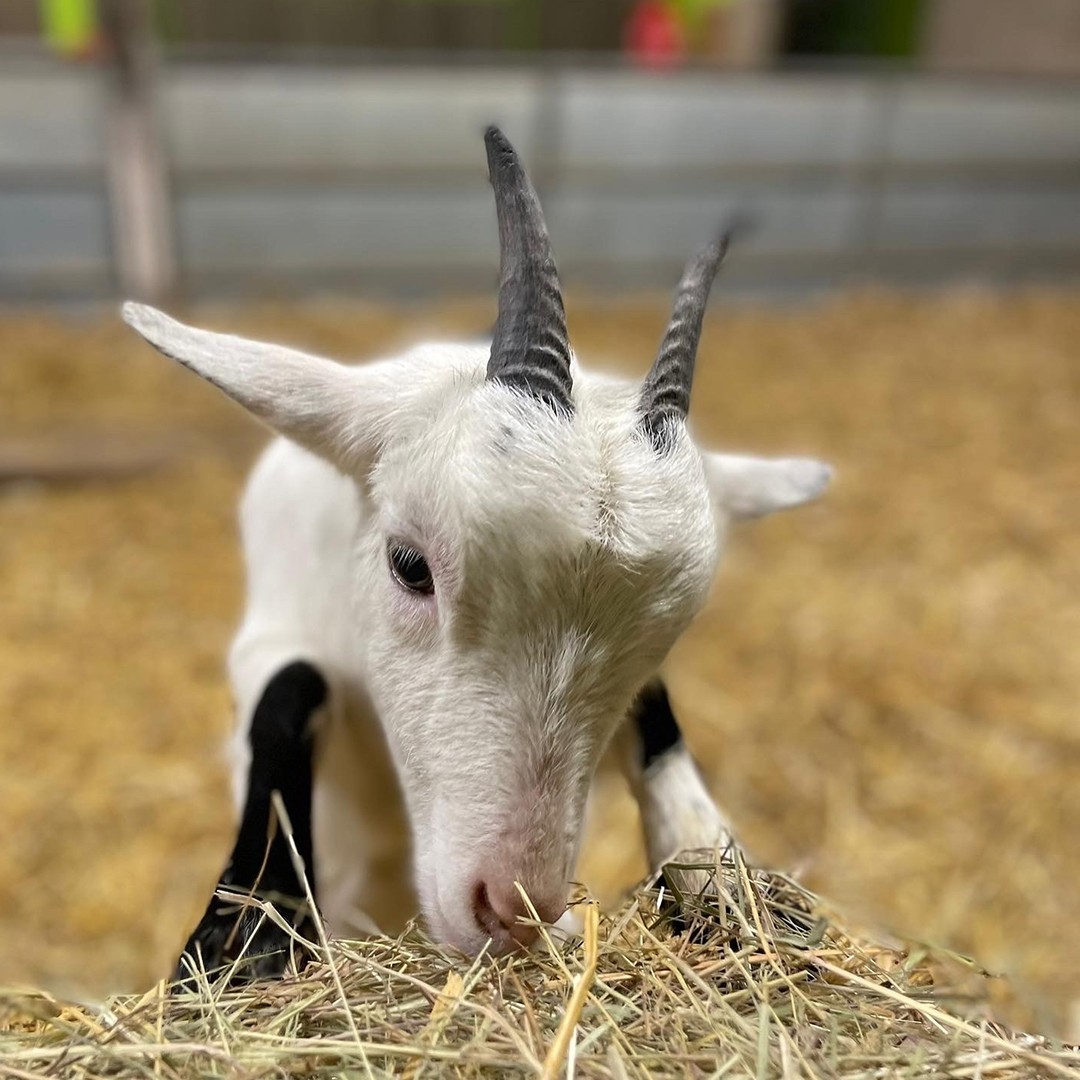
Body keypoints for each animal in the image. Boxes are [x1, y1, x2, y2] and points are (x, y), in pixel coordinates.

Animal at [122, 126, 829, 980]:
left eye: (664, 636)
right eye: (409, 565)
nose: (512, 909)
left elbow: (661, 722)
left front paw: (723, 883)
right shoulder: (269, 639)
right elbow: (286, 693)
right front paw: (246, 938)